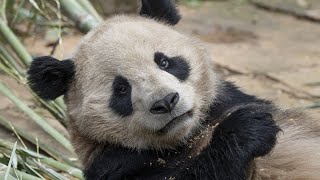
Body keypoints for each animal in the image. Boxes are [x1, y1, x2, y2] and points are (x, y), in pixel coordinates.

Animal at [26, 0, 320, 179]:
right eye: (121, 89)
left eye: (165, 61)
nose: (166, 102)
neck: (187, 137)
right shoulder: (112, 163)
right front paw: (246, 129)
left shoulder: (228, 102)